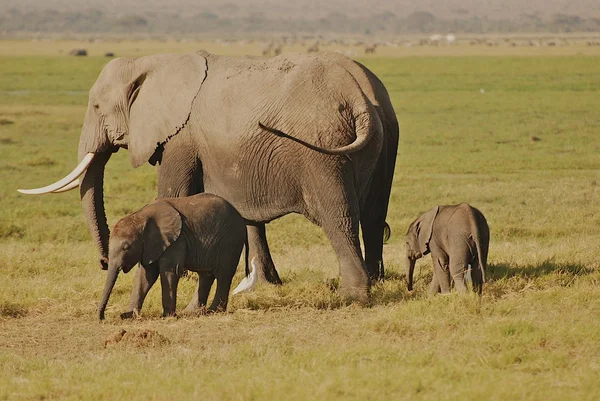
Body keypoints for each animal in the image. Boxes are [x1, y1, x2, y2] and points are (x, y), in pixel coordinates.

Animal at [21, 50, 398, 302]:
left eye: (97, 107)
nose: (102, 262)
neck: (151, 62)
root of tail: (358, 95)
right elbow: (240, 213)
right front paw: (265, 284)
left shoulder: (181, 137)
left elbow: (172, 193)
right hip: (386, 137)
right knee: (373, 215)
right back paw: (377, 282)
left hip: (322, 151)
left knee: (339, 217)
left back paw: (353, 295)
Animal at [98, 192, 246, 320]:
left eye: (126, 247)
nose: (103, 318)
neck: (140, 217)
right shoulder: (151, 245)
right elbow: (145, 276)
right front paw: (129, 315)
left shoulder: (176, 240)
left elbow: (169, 272)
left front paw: (168, 316)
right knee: (206, 275)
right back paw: (191, 312)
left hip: (231, 241)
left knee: (223, 275)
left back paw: (214, 310)